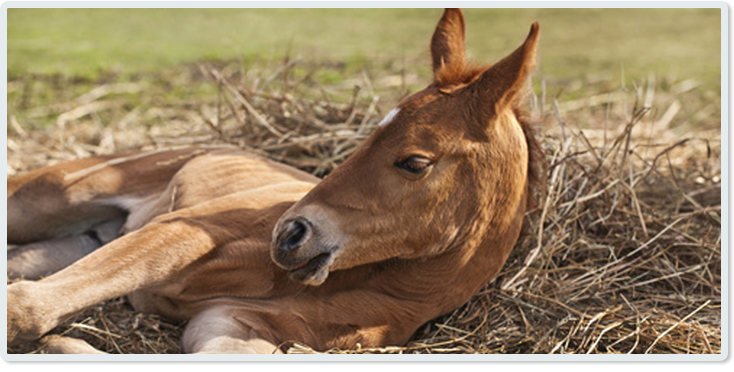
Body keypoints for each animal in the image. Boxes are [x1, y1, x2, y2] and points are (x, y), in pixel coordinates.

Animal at [7, 8, 540, 352]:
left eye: (414, 162)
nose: (289, 232)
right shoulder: (178, 233)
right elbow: (26, 306)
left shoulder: (231, 324)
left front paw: (58, 344)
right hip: (52, 197)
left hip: (78, 240)